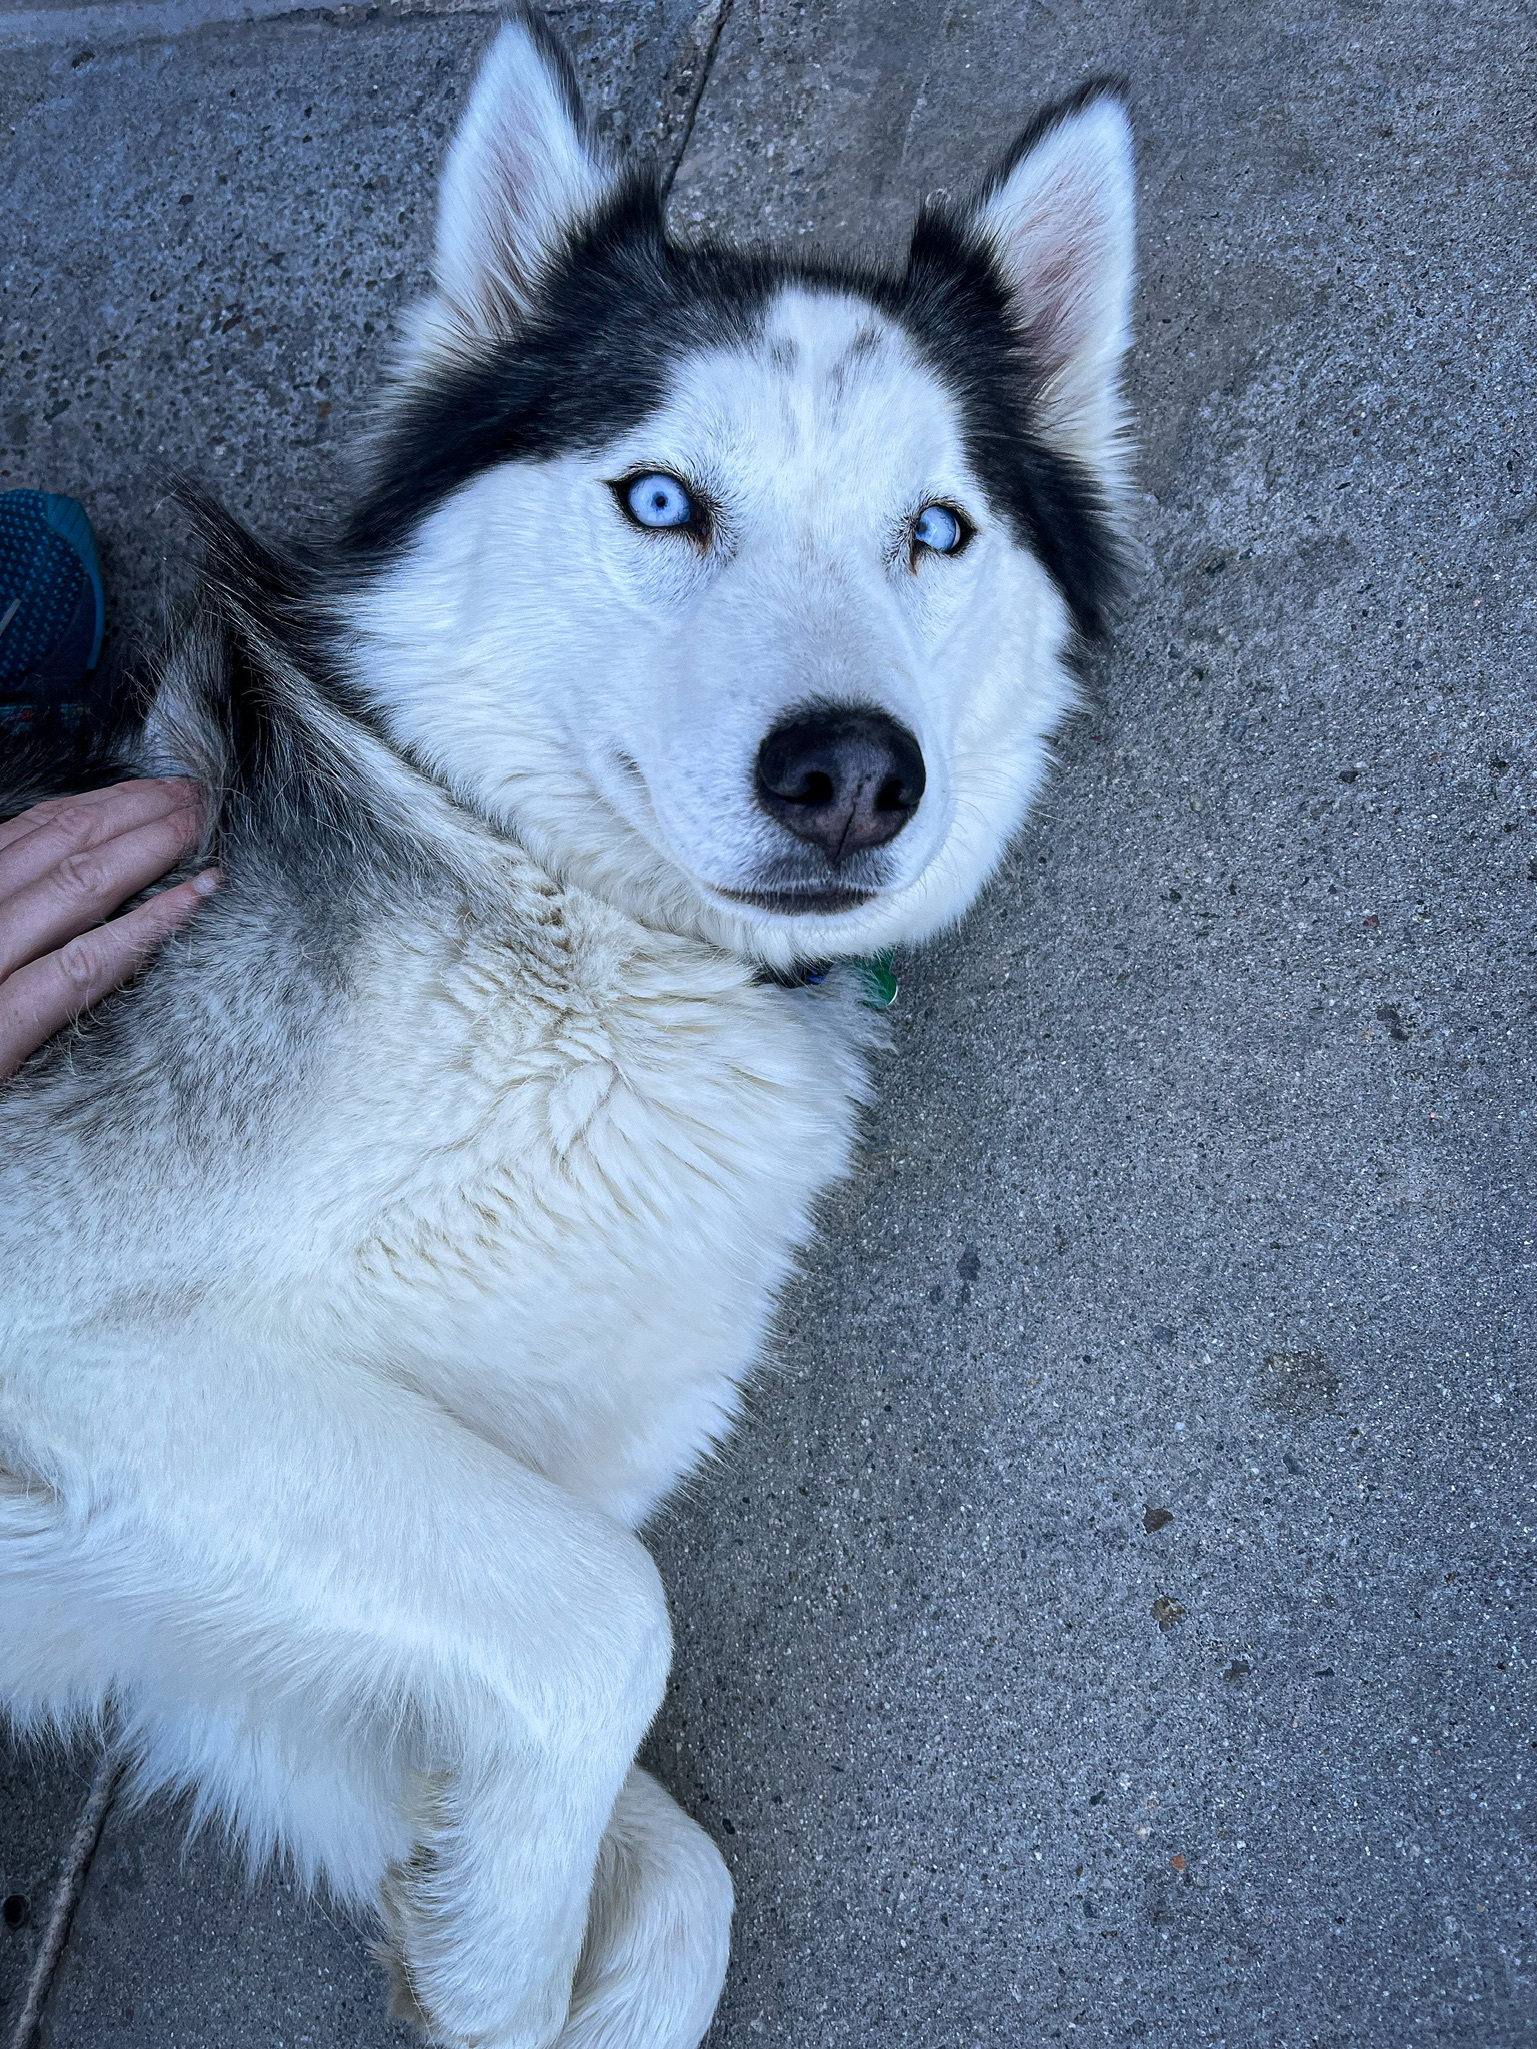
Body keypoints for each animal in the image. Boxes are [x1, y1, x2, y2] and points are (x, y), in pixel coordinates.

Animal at [0, 19, 1131, 2049]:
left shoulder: (220, 1636)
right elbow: (619, 1615)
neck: (592, 961)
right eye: (663, 500)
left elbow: (670, 1872)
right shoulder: (93, 1339)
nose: (852, 774)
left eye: (935, 530)